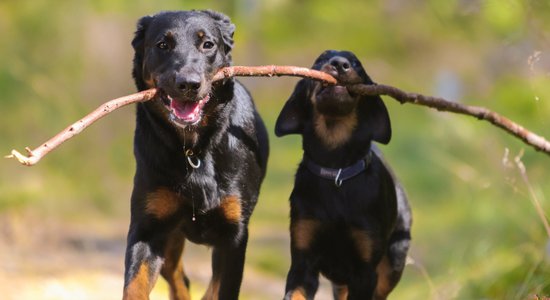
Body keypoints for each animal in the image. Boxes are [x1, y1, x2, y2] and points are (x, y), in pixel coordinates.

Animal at [125, 9, 272, 300]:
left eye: (208, 44)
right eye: (162, 44)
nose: (188, 84)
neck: (194, 148)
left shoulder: (234, 237)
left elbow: (222, 288)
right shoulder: (148, 227)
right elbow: (134, 286)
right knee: (178, 277)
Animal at [278, 50, 412, 298]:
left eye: (357, 64)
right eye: (320, 60)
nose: (340, 64)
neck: (336, 169)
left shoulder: (365, 271)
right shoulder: (303, 262)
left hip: (394, 260)